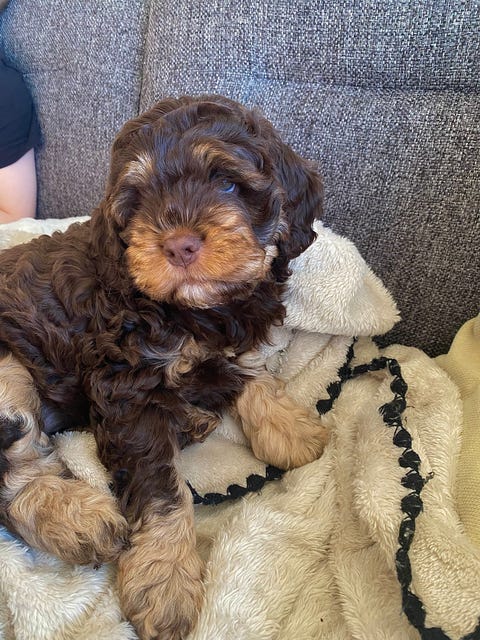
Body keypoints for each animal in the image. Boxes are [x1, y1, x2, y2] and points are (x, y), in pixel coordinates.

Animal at [0, 95, 328, 639]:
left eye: (227, 184)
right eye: (137, 201)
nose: (179, 245)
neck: (190, 309)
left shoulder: (222, 342)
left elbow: (247, 372)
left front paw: (292, 428)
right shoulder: (125, 389)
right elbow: (162, 489)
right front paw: (166, 579)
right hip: (8, 372)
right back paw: (79, 518)